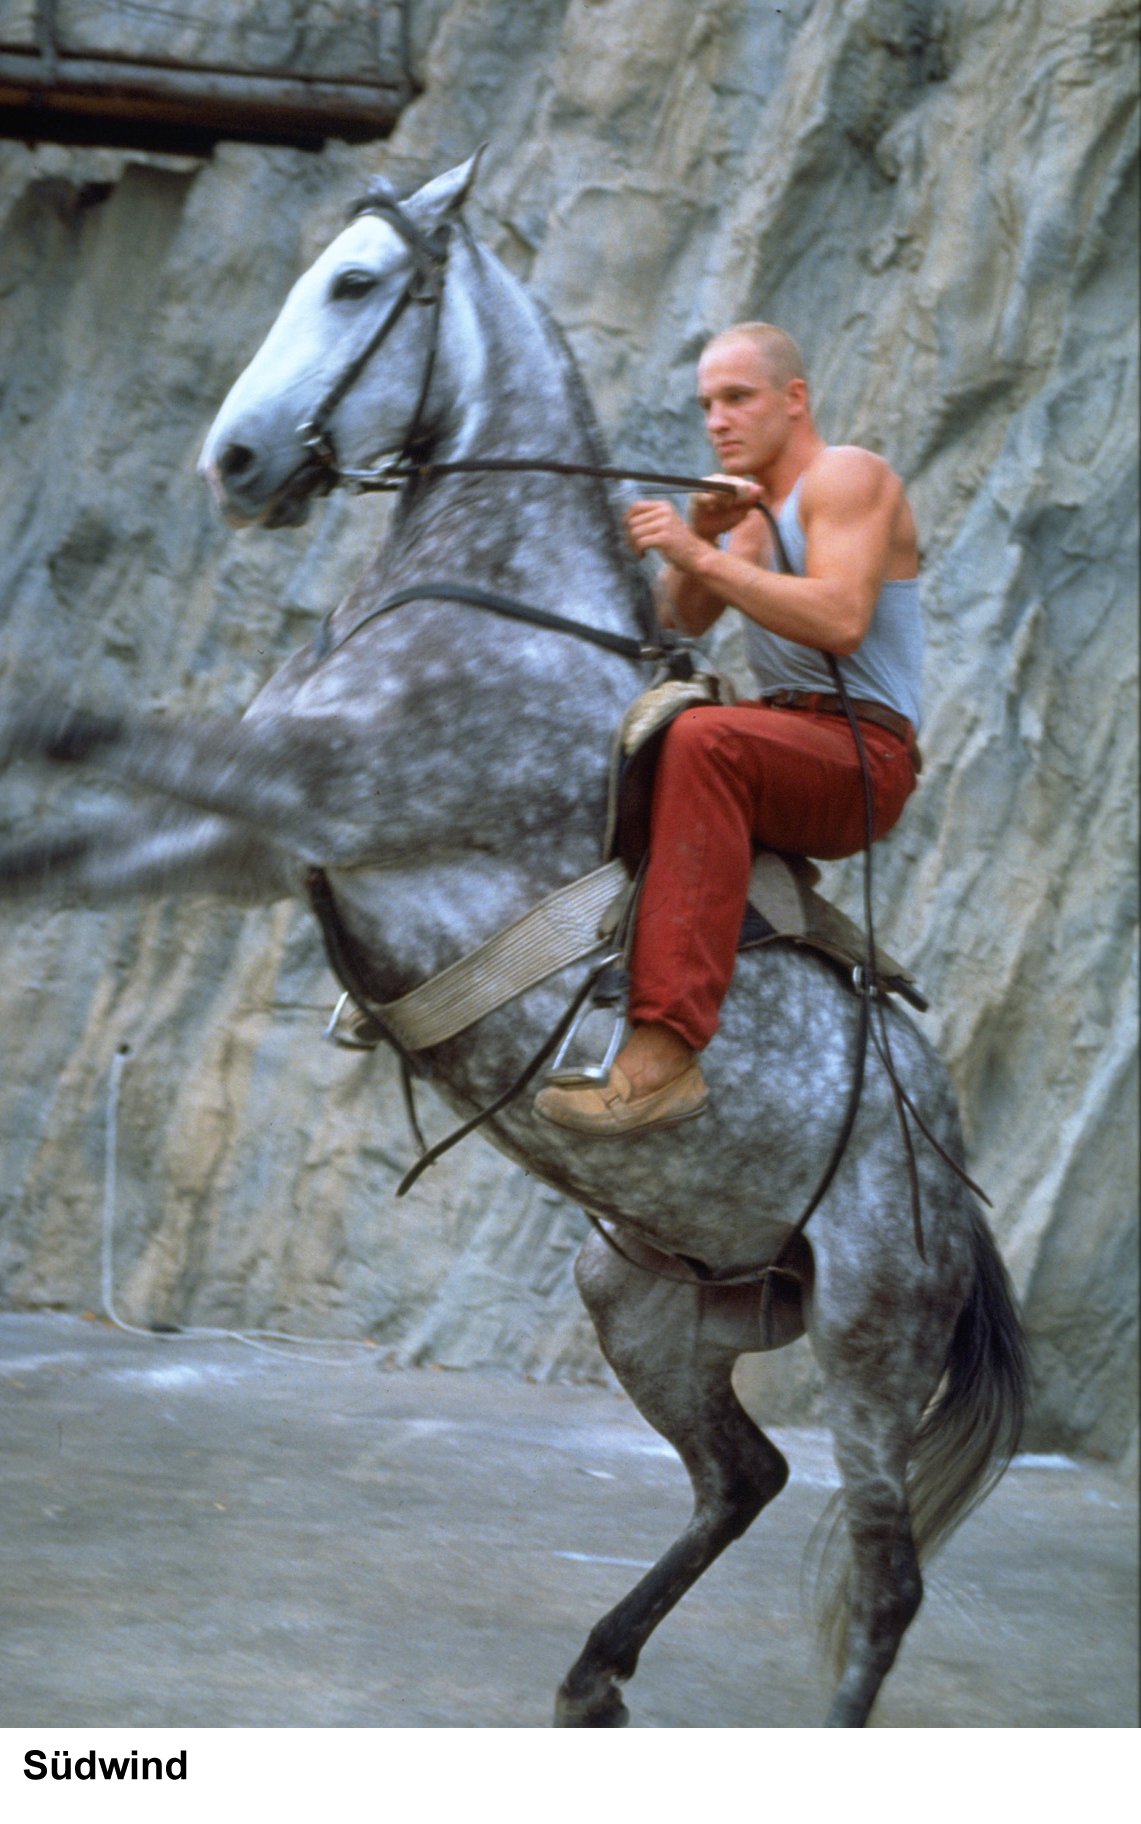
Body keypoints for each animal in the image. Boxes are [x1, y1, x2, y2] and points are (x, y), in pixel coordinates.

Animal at [0, 156, 1020, 1721]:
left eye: (358, 283)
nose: (233, 463)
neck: (497, 597)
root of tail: (959, 1193)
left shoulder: (319, 782)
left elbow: (80, 728)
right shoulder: (261, 838)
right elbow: (52, 854)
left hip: (866, 1336)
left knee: (882, 1579)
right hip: (641, 1302)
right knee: (742, 1476)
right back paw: (594, 1671)